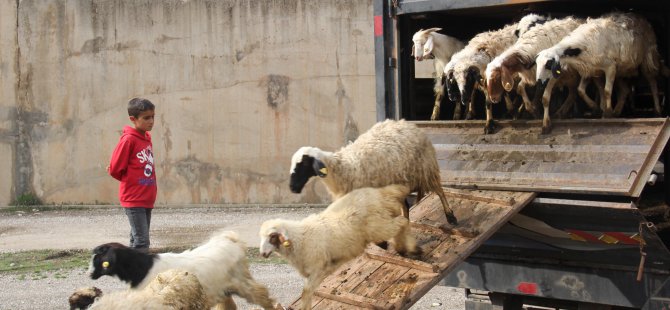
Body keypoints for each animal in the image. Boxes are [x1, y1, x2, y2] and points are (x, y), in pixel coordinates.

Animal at [90, 230, 278, 310]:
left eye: (99, 258)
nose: (90, 274)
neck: (143, 268)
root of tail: (230, 239)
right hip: (223, 289)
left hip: (242, 282)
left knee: (262, 295)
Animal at [260, 184, 418, 310]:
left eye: (272, 237)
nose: (262, 254)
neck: (300, 238)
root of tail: (378, 194)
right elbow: (306, 291)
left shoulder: (318, 269)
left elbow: (306, 292)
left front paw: (305, 307)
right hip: (382, 221)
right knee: (401, 215)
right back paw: (395, 245)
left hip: (379, 226)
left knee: (402, 222)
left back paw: (408, 247)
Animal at [288, 118, 456, 225]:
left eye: (303, 164)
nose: (292, 188)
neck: (342, 168)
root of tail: (407, 124)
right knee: (406, 207)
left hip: (426, 168)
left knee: (439, 190)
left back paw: (450, 216)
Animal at [536, 12, 668, 118]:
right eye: (537, 64)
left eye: (548, 65)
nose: (539, 83)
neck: (581, 47)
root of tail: (641, 18)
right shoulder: (591, 70)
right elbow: (581, 90)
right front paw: (597, 108)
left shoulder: (610, 67)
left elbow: (606, 91)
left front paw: (607, 113)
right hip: (621, 70)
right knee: (625, 90)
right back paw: (617, 111)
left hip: (648, 58)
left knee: (652, 82)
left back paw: (657, 110)